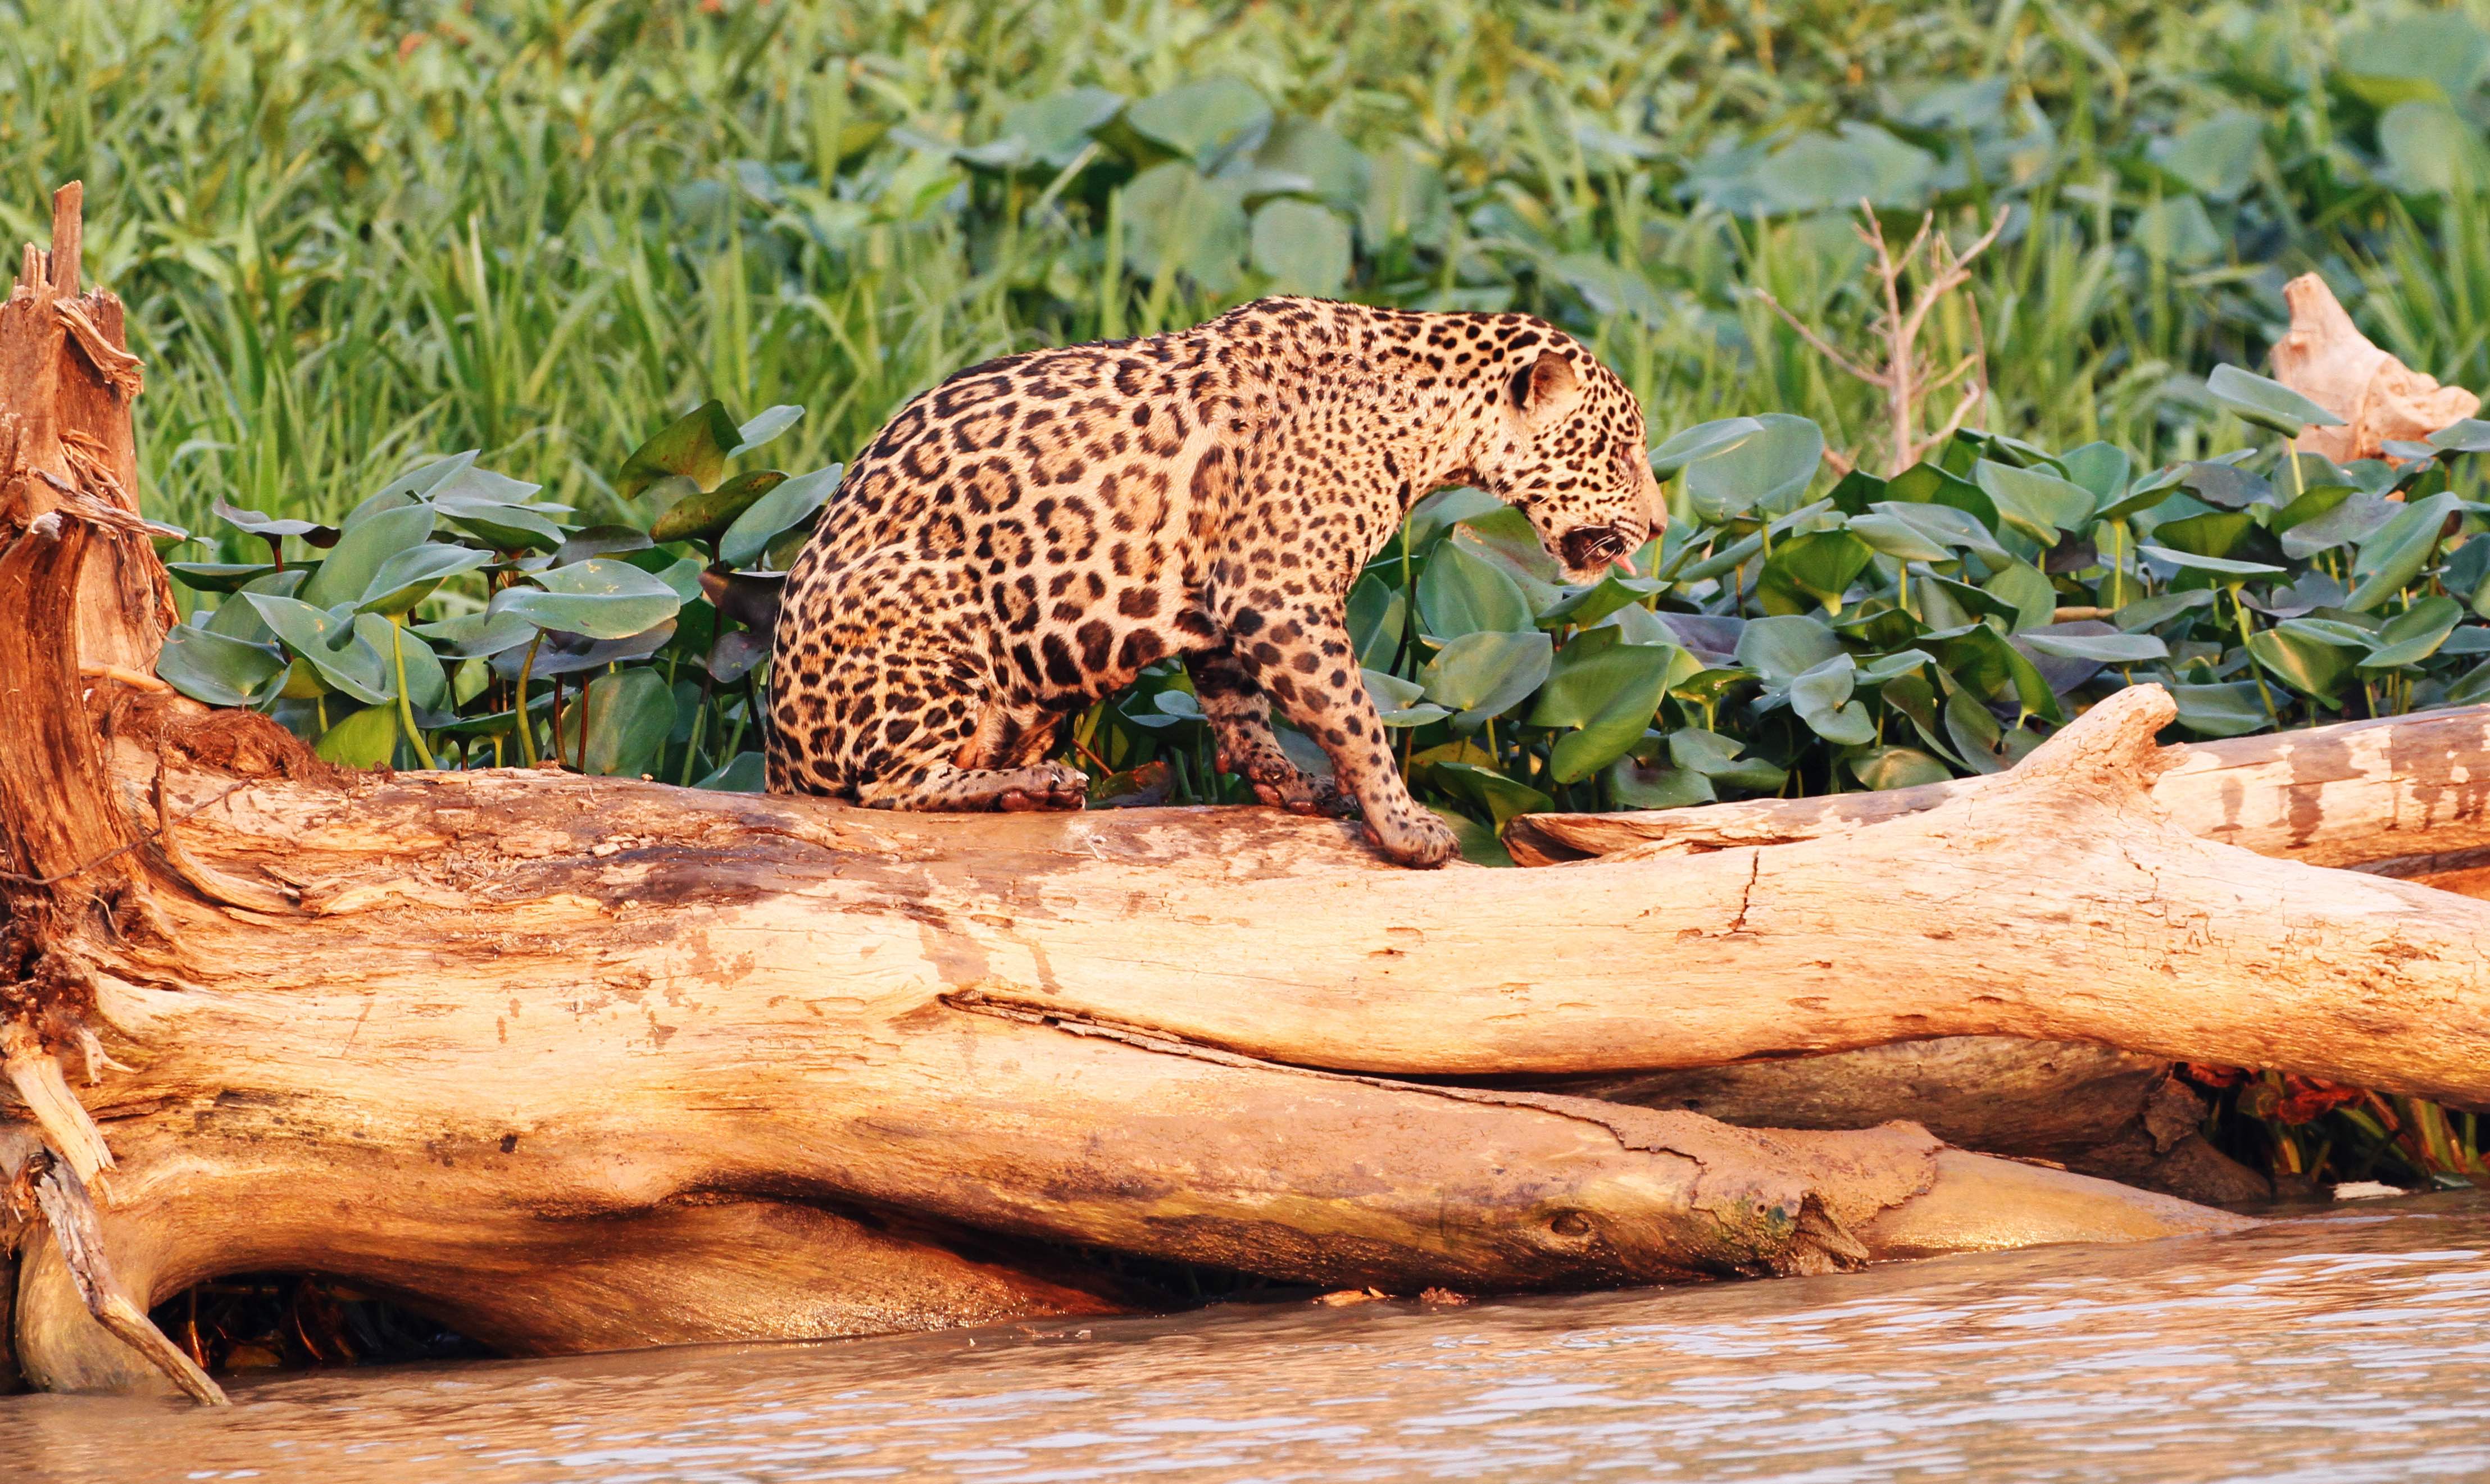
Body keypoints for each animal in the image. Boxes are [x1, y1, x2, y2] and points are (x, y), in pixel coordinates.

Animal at [765, 295, 1664, 868]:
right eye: (1621, 451)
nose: (1659, 527)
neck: (1428, 423)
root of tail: (776, 757)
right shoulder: (1281, 590)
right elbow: (1356, 715)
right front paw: (1405, 824)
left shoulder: (1229, 601)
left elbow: (1241, 706)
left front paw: (1287, 782)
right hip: (929, 618)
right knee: (886, 786)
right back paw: (1030, 786)